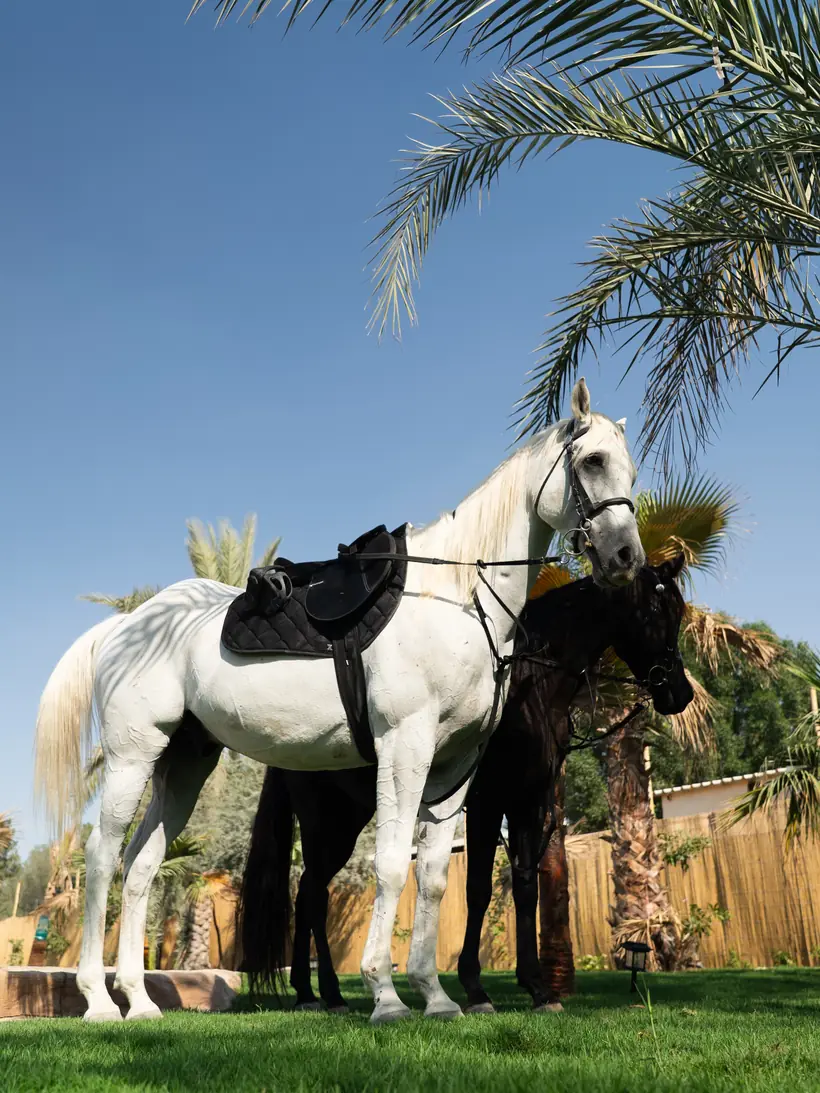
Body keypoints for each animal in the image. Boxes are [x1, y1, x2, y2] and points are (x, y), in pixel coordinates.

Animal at [34, 377, 645, 1024]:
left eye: (630, 469)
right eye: (592, 461)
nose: (627, 558)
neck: (454, 596)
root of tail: (129, 626)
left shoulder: (455, 766)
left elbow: (432, 875)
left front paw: (435, 996)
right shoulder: (405, 746)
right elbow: (392, 863)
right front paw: (386, 995)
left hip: (183, 765)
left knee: (141, 867)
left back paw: (141, 1001)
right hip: (133, 757)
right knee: (103, 859)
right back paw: (99, 1000)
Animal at [239, 557, 692, 1013]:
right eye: (657, 610)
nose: (681, 693)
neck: (529, 686)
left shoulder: (527, 802)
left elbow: (526, 889)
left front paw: (537, 988)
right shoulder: (488, 803)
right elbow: (478, 889)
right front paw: (475, 989)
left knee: (307, 896)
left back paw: (313, 992)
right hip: (329, 826)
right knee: (312, 897)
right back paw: (323, 993)